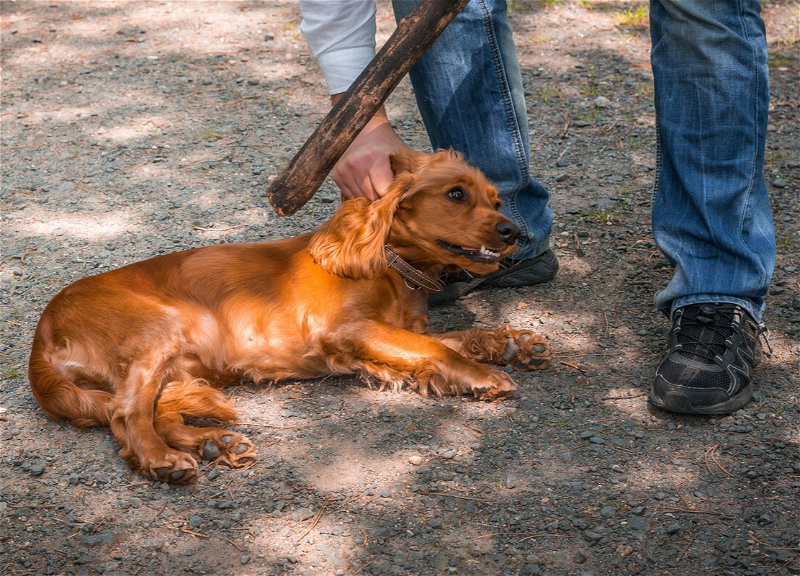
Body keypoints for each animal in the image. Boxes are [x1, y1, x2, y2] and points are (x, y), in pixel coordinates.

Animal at [26, 151, 552, 484]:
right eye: (457, 194)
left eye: (497, 201)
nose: (512, 231)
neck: (391, 267)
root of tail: (41, 339)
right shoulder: (347, 330)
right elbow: (437, 348)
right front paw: (485, 375)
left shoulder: (396, 330)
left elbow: (452, 337)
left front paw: (513, 343)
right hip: (157, 332)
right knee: (127, 414)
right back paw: (164, 460)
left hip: (179, 369)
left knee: (155, 413)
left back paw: (216, 443)